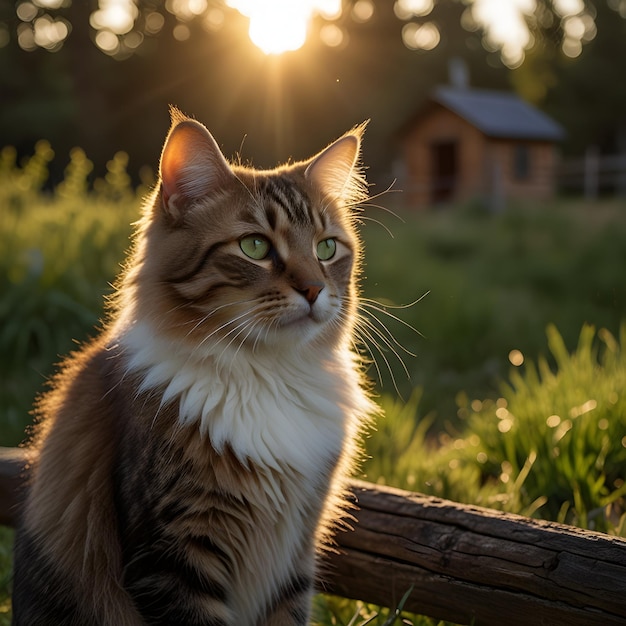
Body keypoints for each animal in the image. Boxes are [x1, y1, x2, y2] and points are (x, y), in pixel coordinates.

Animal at [12, 109, 376, 620]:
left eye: (326, 249)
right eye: (255, 247)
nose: (314, 289)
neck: (267, 375)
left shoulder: (295, 552)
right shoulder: (173, 552)